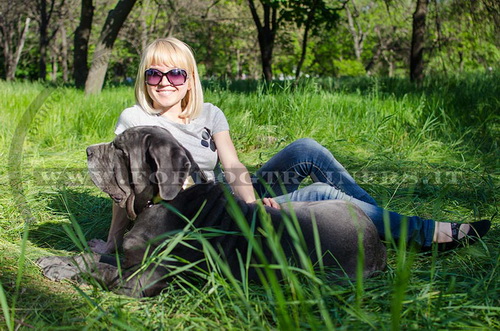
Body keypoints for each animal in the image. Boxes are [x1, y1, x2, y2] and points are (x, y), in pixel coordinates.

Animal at [37, 126, 386, 298]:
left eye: (120, 148)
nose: (87, 151)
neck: (166, 200)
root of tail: (377, 244)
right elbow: (99, 257)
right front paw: (59, 261)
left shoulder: (143, 279)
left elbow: (107, 271)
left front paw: (65, 270)